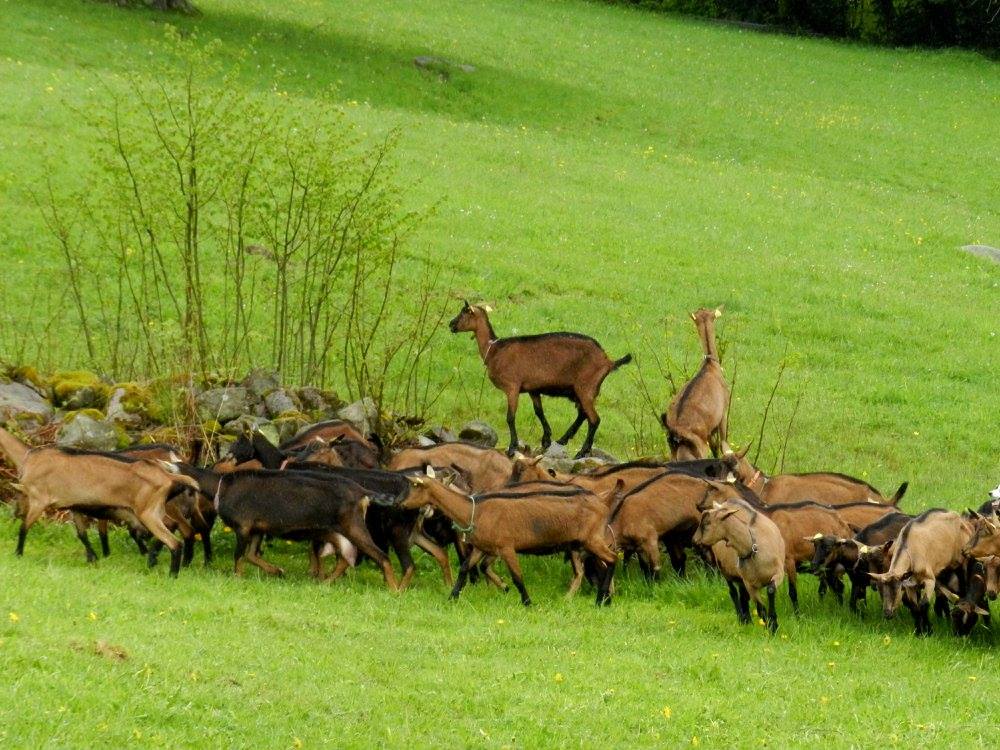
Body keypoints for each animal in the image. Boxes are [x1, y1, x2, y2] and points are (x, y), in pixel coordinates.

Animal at [450, 302, 628, 458]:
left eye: (464, 312)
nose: (451, 324)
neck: (494, 349)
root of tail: (608, 361)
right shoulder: (532, 389)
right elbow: (539, 412)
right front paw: (546, 439)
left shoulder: (512, 387)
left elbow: (510, 417)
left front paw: (512, 447)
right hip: (582, 391)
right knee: (584, 414)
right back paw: (563, 439)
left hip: (586, 387)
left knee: (594, 419)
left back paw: (581, 451)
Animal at [660, 308, 732, 462]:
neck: (710, 366)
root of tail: (676, 433)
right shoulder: (723, 414)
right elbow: (723, 444)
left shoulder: (709, 430)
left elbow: (715, 448)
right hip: (698, 448)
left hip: (675, 452)